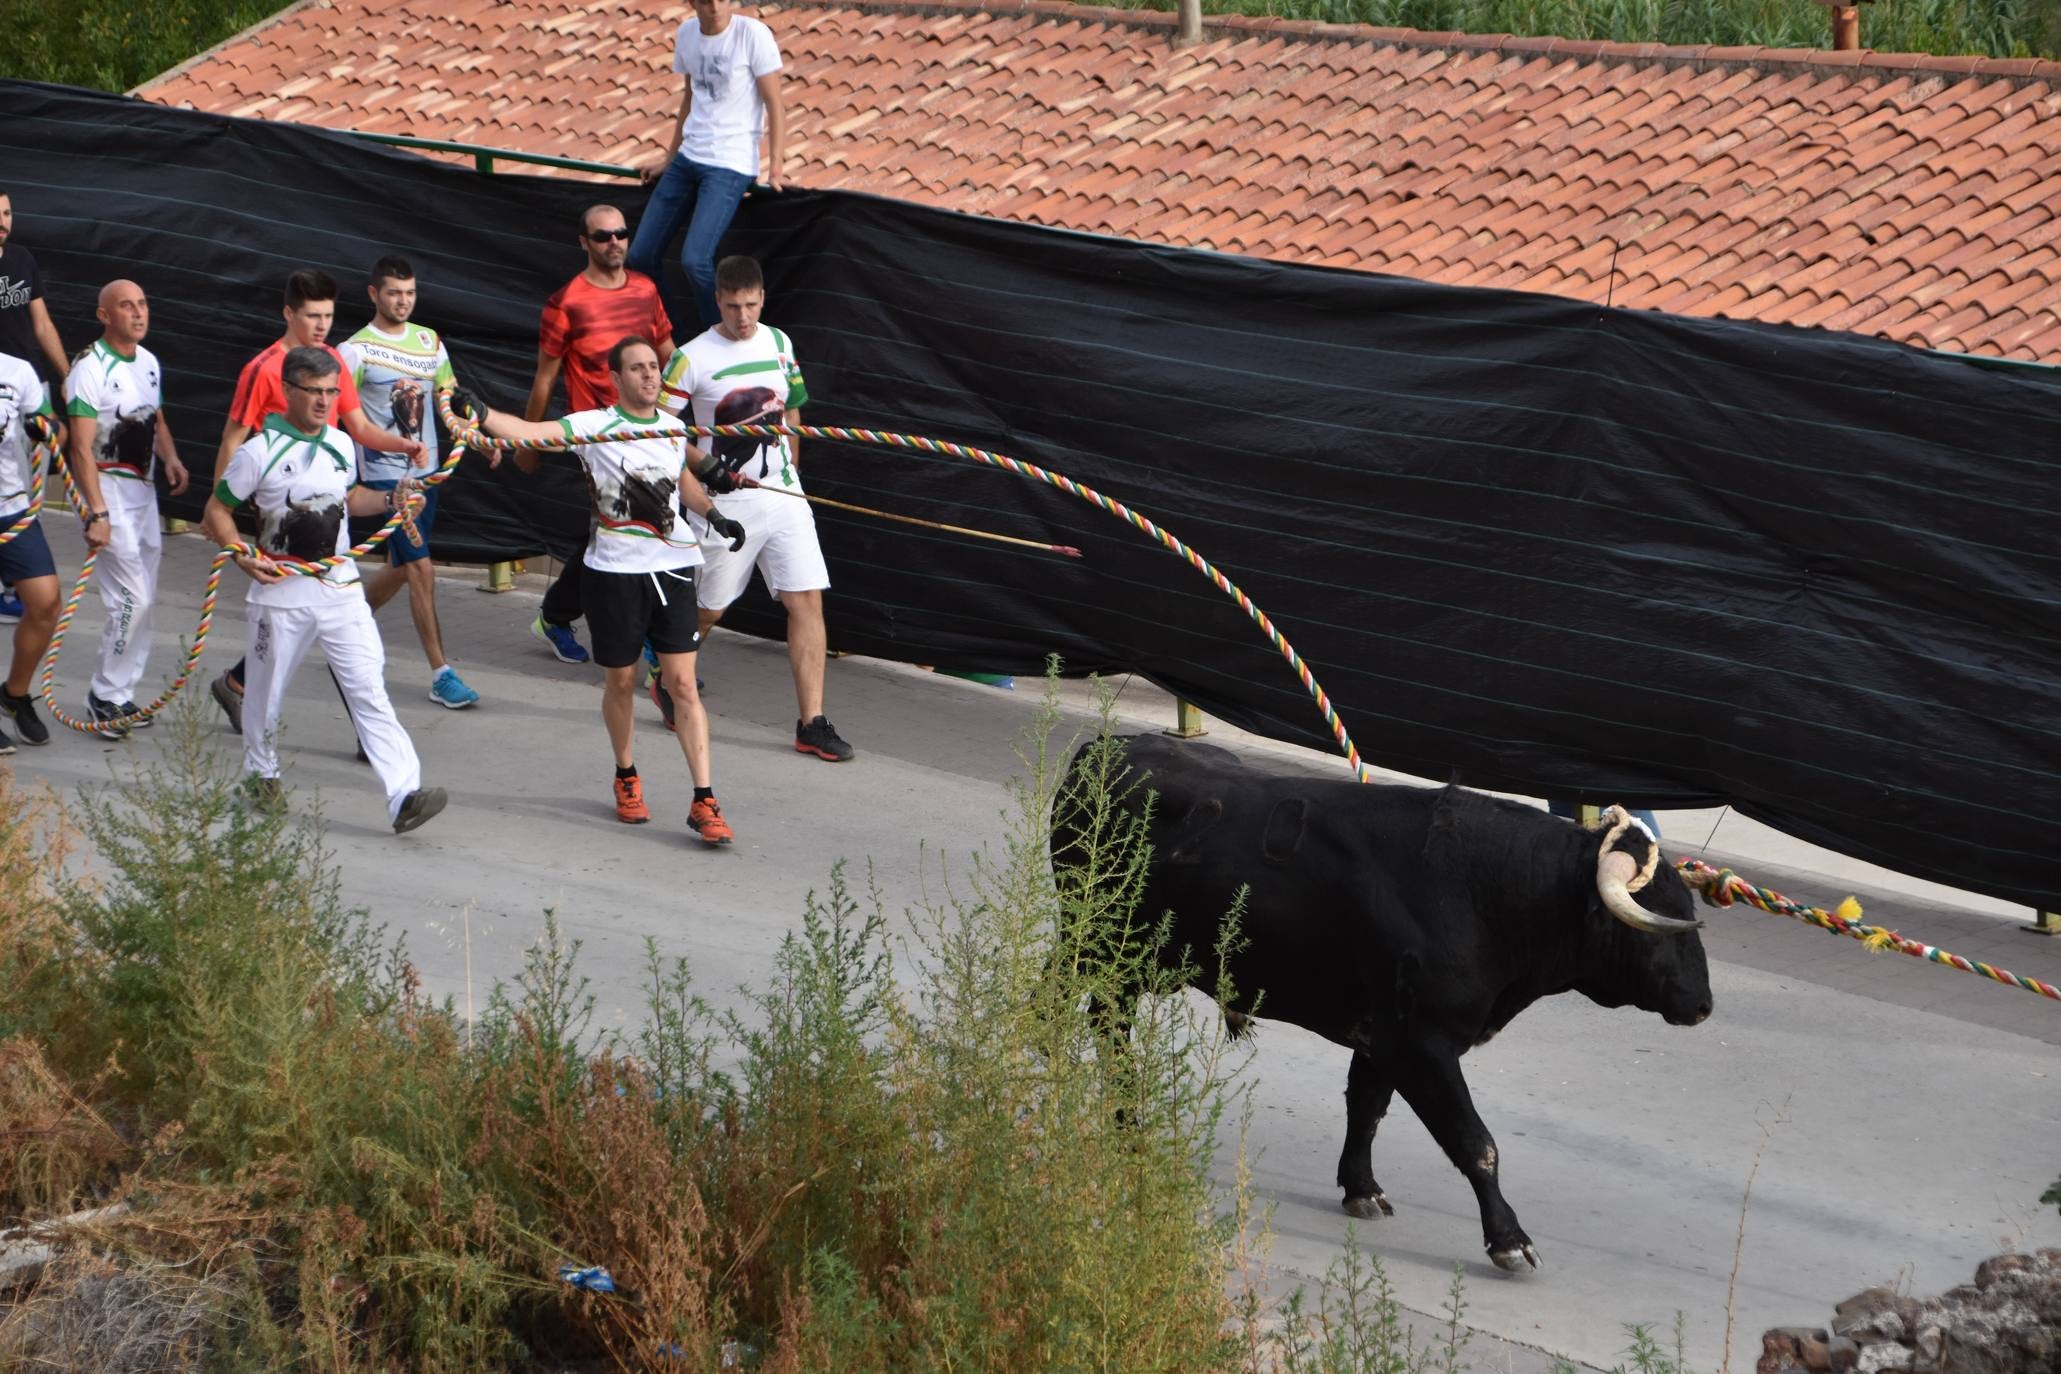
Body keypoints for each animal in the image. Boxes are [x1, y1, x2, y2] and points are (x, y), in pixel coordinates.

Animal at [1055, 737, 1714, 1277]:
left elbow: (1366, 1110)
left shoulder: (1382, 1037)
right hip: (1098, 946)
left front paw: (1360, 1188)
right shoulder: (1421, 1043)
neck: (1485, 890)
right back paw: (1110, 1116)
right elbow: (1476, 1142)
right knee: (1091, 1018)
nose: (1704, 1005)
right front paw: (1509, 1240)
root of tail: (1104, 748)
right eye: (1662, 920)